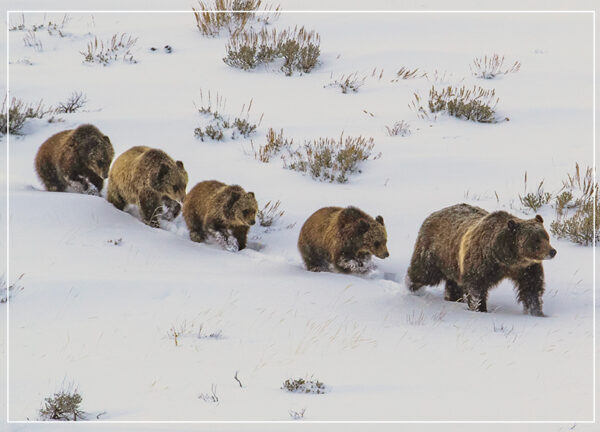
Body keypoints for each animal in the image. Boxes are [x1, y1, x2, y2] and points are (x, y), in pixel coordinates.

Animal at [406, 204, 556, 316]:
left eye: (546, 237)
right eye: (535, 240)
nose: (552, 251)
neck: (508, 258)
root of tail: (432, 215)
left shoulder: (526, 268)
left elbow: (532, 288)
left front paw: (536, 311)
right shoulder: (483, 263)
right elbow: (476, 287)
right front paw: (480, 308)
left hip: (454, 263)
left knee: (453, 283)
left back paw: (454, 298)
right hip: (435, 253)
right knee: (423, 273)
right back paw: (411, 288)